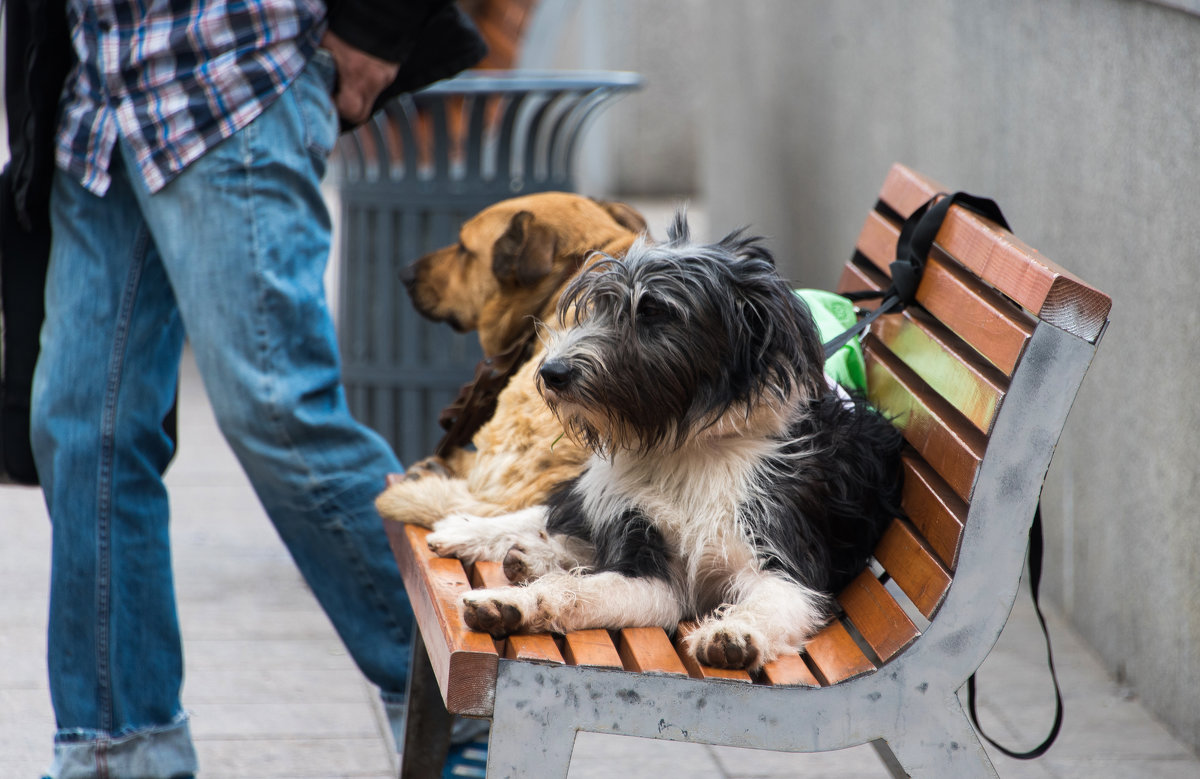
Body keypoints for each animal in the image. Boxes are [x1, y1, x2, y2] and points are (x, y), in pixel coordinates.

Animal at [427, 216, 902, 672]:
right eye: (601, 306)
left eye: (654, 311)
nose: (551, 372)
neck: (689, 446)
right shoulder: (647, 557)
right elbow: (574, 590)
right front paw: (511, 603)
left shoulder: (783, 561)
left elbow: (771, 601)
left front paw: (736, 634)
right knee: (551, 516)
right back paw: (477, 536)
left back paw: (531, 557)